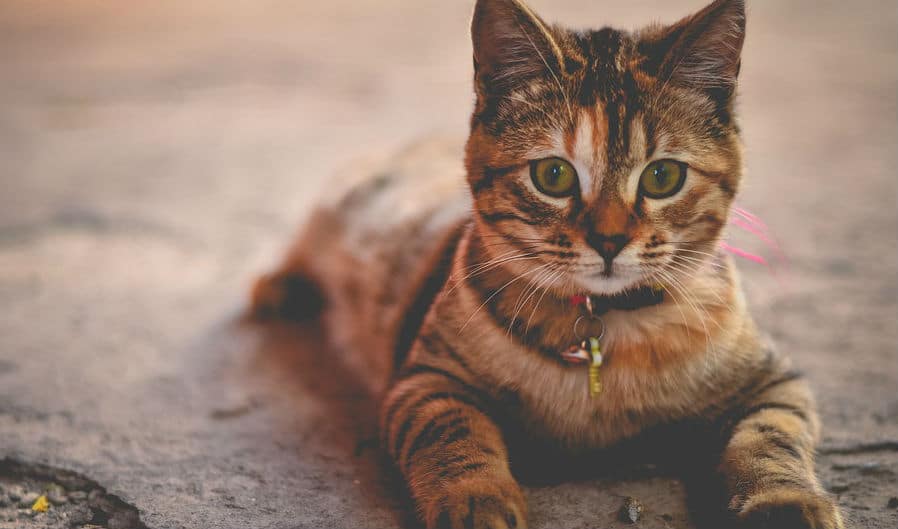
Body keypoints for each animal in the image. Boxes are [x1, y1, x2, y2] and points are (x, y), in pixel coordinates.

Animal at [250, 1, 840, 528]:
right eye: (553, 175)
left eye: (662, 177)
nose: (609, 240)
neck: (607, 331)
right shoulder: (427, 382)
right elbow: (455, 435)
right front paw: (477, 500)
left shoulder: (774, 382)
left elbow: (770, 440)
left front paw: (786, 502)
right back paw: (279, 287)